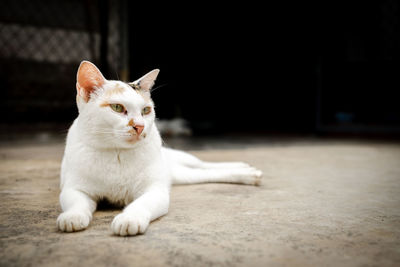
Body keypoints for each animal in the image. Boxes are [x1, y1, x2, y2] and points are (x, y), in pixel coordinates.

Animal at [57, 60, 262, 237]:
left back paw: (247, 171)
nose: (140, 126)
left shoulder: (155, 191)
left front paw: (129, 219)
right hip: (181, 175)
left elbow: (140, 204)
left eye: (146, 110)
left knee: (205, 166)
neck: (117, 153)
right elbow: (76, 203)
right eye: (117, 107)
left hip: (181, 163)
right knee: (206, 173)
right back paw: (247, 172)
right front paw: (72, 216)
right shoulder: (74, 189)